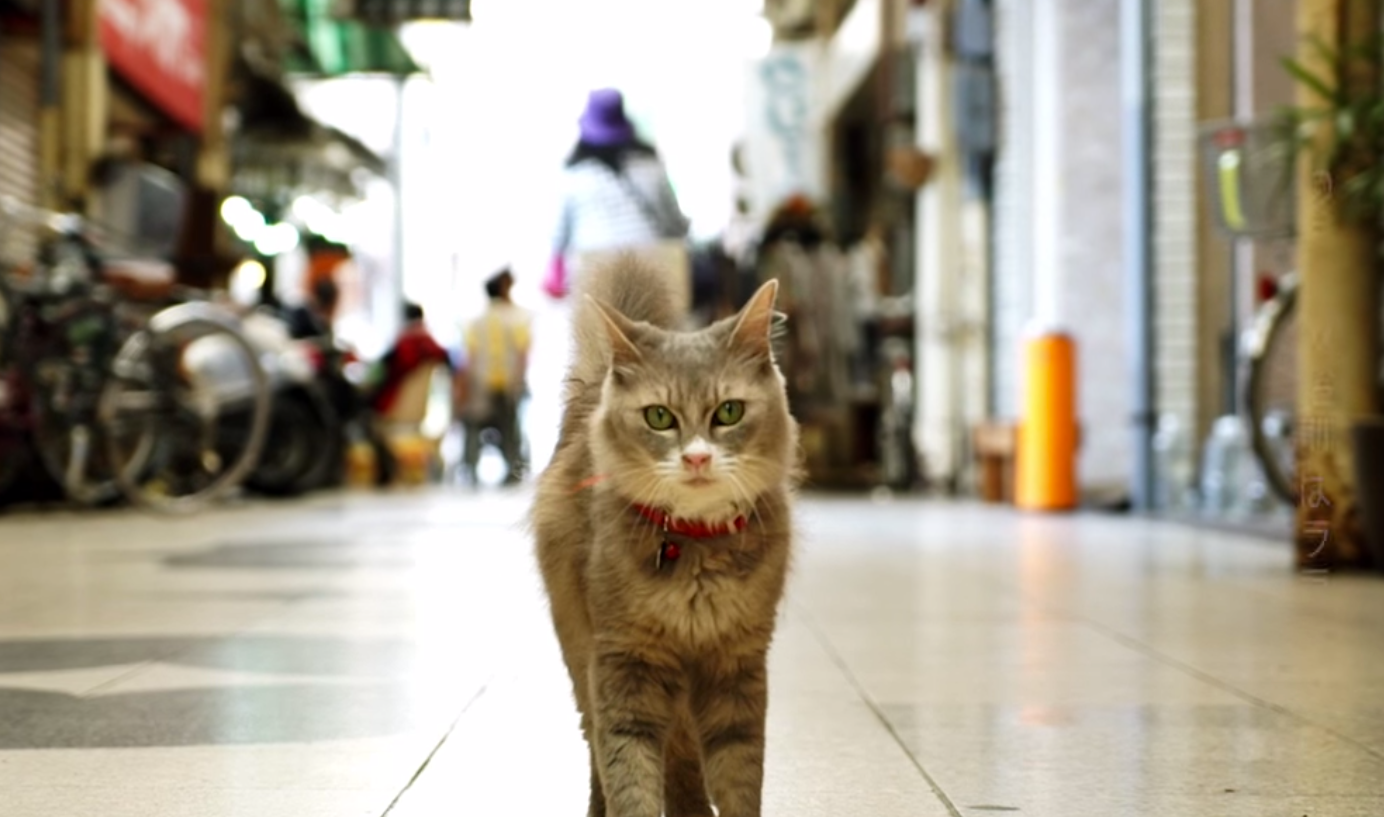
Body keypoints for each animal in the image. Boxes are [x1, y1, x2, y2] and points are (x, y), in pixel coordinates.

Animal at [536, 257, 802, 817]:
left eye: (729, 411)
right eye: (659, 417)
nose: (696, 458)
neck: (695, 548)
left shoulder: (737, 667)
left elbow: (738, 778)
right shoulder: (624, 666)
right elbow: (629, 775)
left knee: (681, 761)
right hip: (583, 656)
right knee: (603, 755)